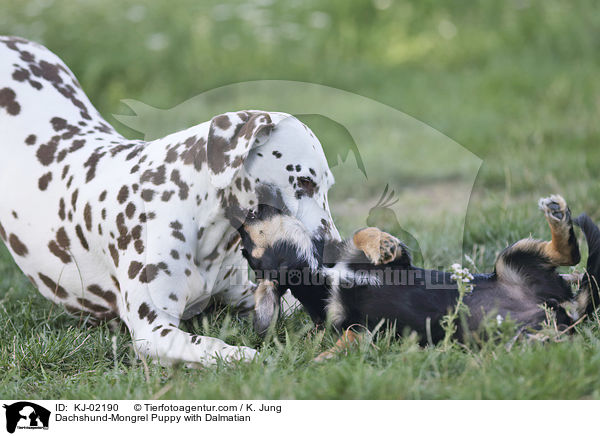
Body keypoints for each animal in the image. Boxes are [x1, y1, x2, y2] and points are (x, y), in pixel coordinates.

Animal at [0, 36, 338, 364]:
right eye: (304, 181)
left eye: (327, 185)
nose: (334, 250)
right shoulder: (154, 330)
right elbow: (212, 346)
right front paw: (244, 355)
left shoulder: (244, 292)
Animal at [236, 192, 600, 360]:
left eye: (245, 244)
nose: (246, 213)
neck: (322, 279)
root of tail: (559, 310)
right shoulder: (360, 327)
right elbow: (345, 337)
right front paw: (323, 357)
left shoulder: (398, 263)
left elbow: (363, 233)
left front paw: (382, 245)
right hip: (518, 328)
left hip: (510, 259)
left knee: (570, 254)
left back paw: (557, 214)